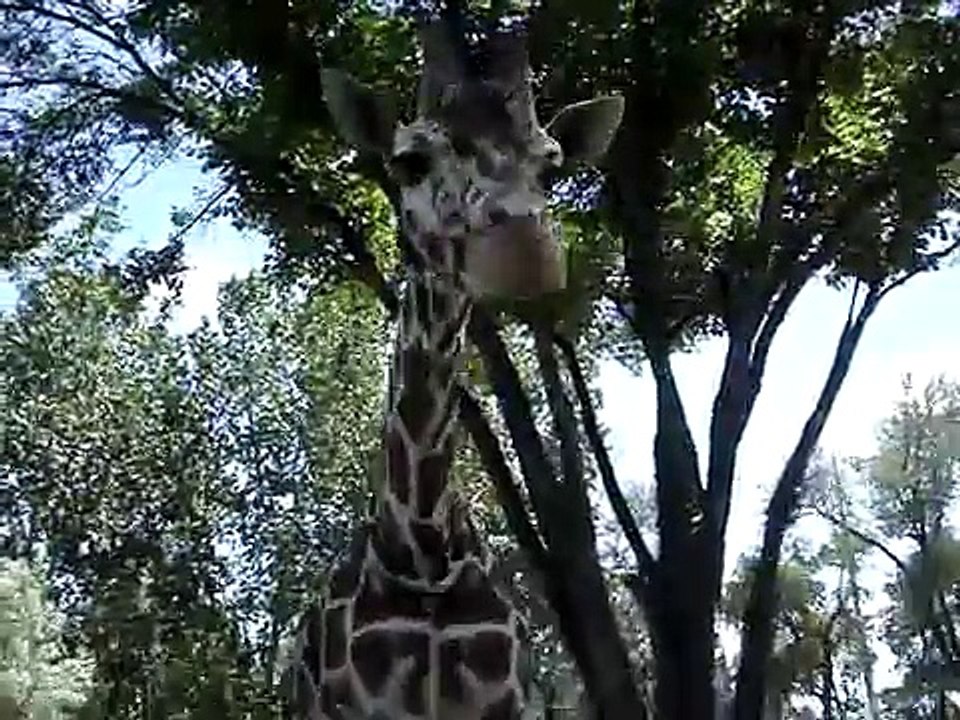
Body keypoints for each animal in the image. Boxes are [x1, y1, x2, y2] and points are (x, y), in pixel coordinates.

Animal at [283, 24, 624, 720]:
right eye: (410, 160)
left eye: (552, 165)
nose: (526, 252)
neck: (423, 549)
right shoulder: (359, 707)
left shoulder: (509, 701)